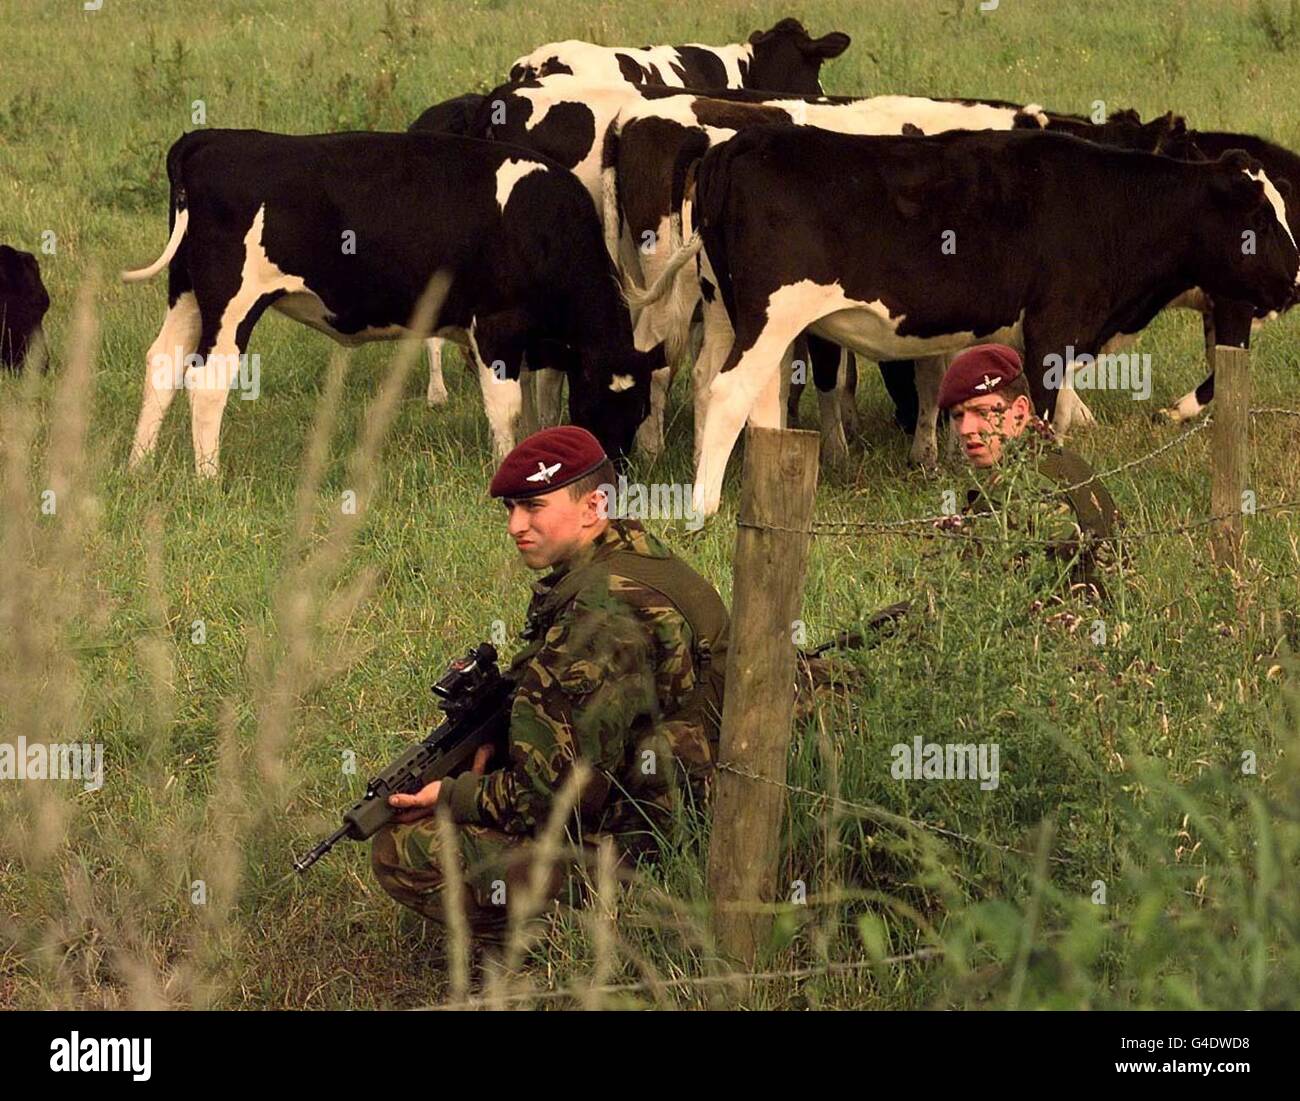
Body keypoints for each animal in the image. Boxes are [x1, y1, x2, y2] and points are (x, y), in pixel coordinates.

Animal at [119, 128, 660, 473]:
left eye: (639, 410)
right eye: (595, 400)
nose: (614, 474)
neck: (542, 225)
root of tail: (210, 137)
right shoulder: (496, 325)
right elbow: (505, 406)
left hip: (188, 293)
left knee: (162, 363)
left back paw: (138, 467)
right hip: (233, 303)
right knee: (207, 380)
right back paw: (208, 476)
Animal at [681, 126, 1300, 517]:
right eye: (1262, 217)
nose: (1295, 281)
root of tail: (741, 145)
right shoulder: (1051, 331)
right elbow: (1045, 416)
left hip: (738, 318)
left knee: (742, 397)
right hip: (770, 317)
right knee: (730, 392)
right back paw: (704, 507)